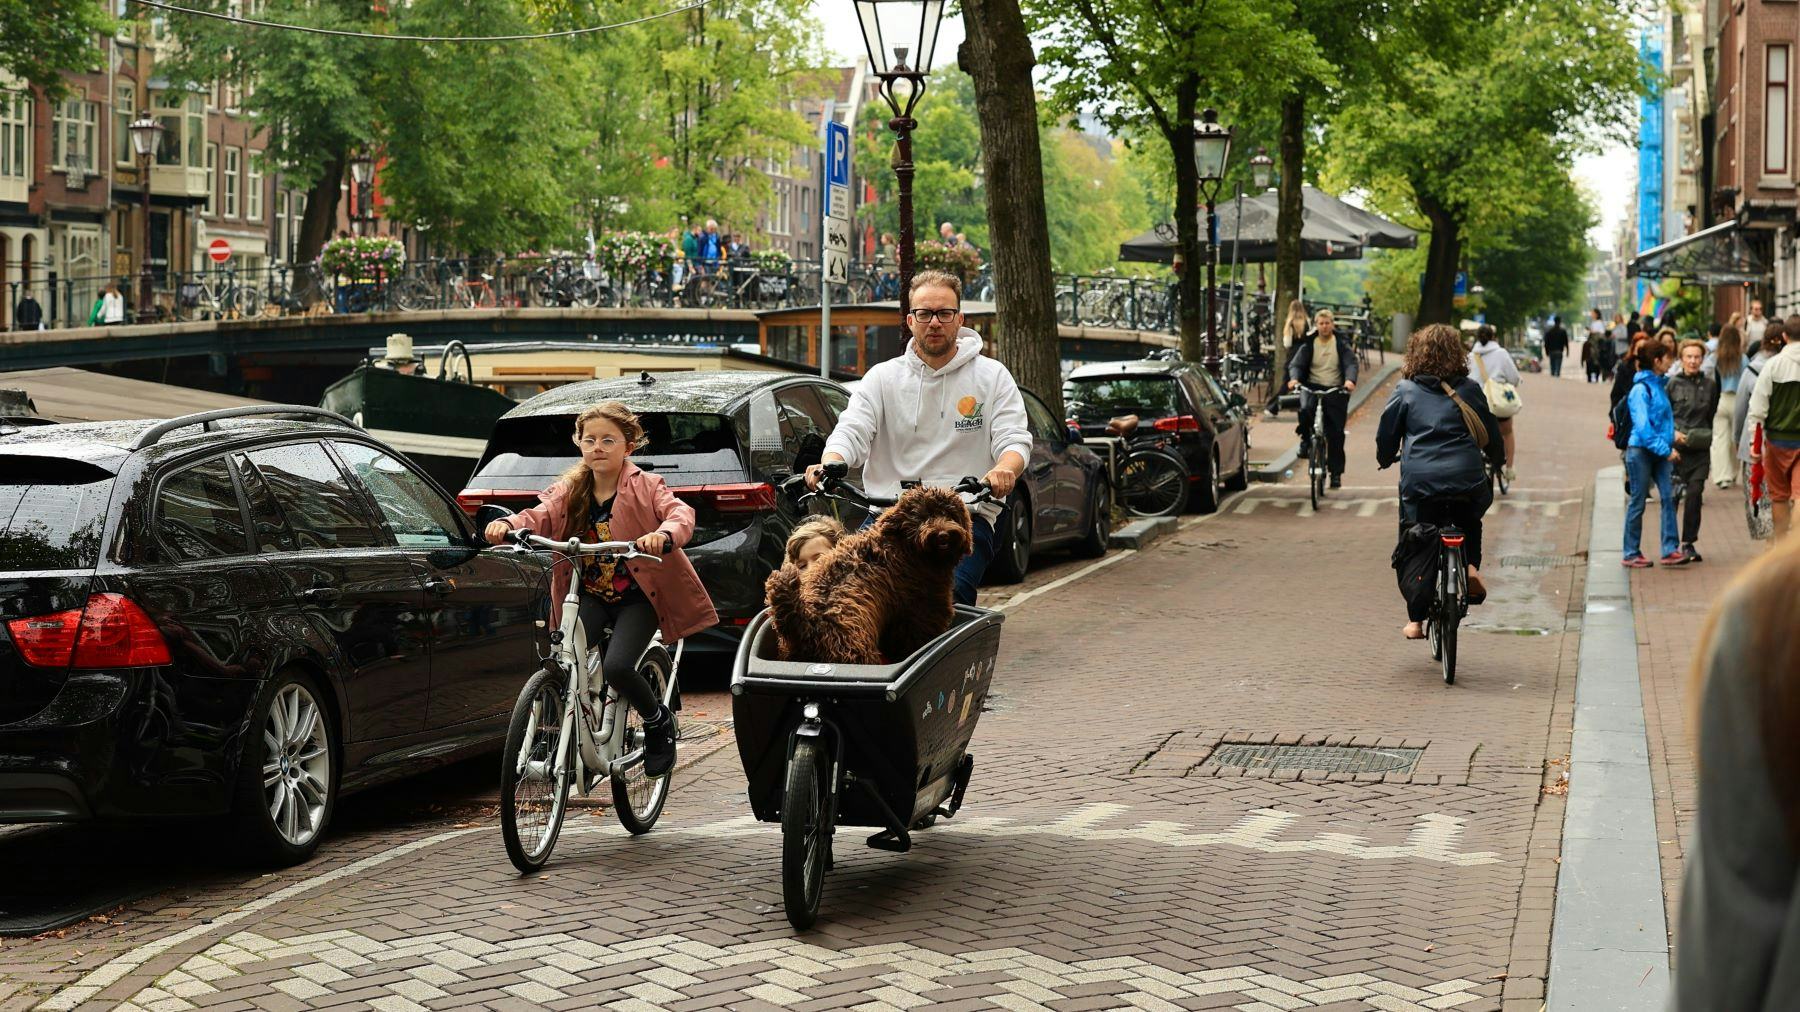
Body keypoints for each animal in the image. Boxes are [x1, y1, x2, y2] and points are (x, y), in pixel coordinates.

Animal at [766, 486, 979, 666]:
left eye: (950, 514)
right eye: (922, 516)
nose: (943, 535)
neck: (904, 546)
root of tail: (804, 620)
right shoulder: (921, 611)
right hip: (854, 650)